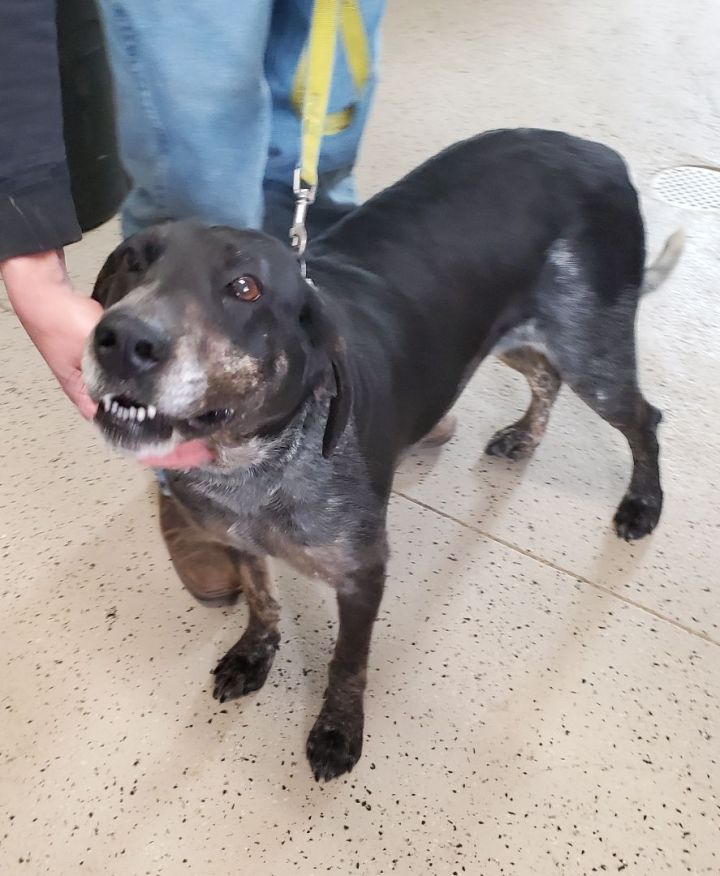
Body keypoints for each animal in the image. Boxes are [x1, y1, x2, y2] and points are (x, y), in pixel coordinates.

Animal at [83, 128, 680, 780]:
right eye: (134, 260)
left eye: (245, 288)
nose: (122, 340)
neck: (251, 465)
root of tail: (601, 154)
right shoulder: (234, 539)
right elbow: (262, 604)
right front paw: (254, 655)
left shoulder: (362, 573)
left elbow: (348, 660)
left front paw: (338, 729)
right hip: (505, 337)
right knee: (545, 376)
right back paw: (525, 436)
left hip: (592, 352)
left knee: (644, 418)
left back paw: (643, 503)